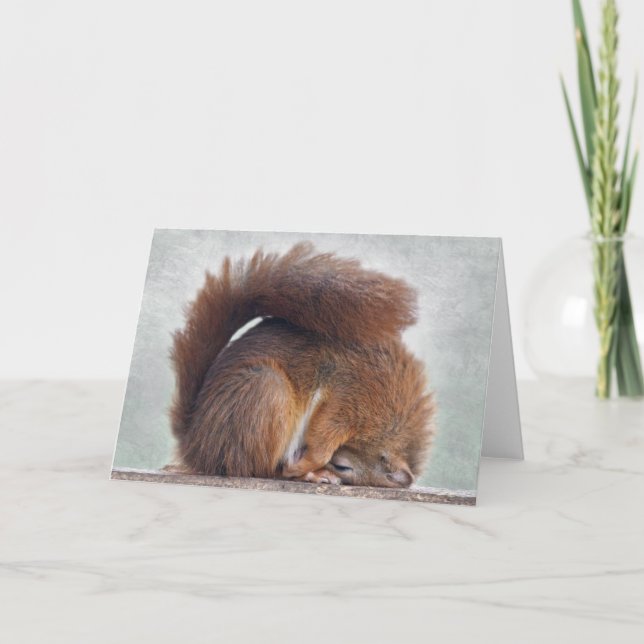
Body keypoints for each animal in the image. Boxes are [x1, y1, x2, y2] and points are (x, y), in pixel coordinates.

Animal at [169, 242, 435, 488]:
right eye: (342, 466)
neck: (391, 425)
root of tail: (196, 446)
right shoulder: (354, 396)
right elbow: (324, 434)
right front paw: (304, 464)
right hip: (265, 391)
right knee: (258, 470)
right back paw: (305, 473)